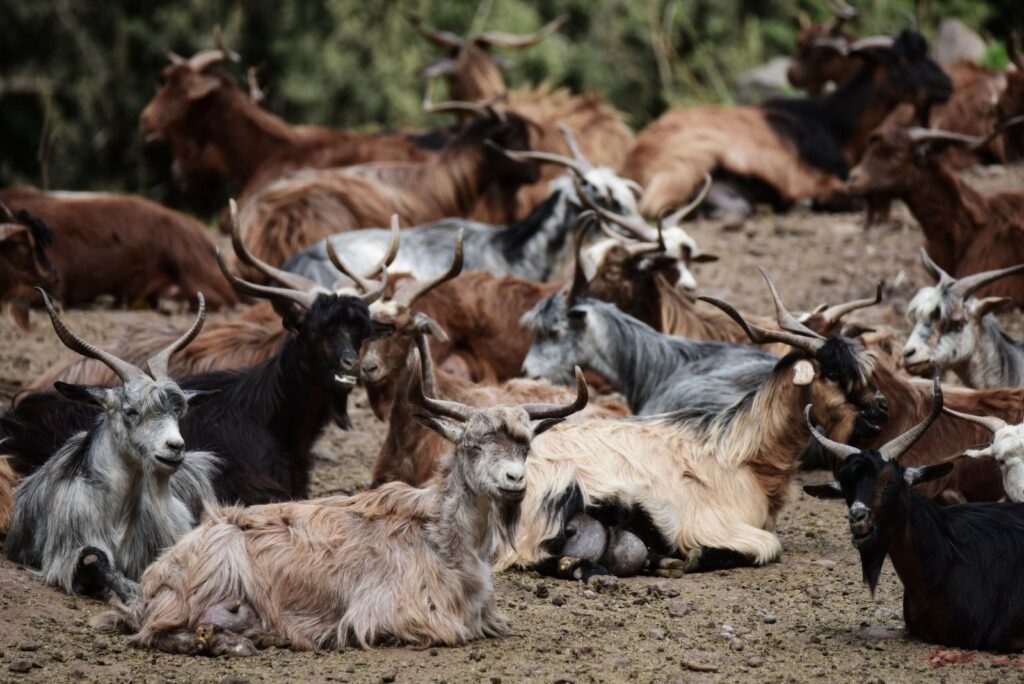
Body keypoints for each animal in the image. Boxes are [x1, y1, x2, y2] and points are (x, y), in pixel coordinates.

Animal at [3, 291, 218, 600]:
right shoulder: (64, 557)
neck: (116, 514)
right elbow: (94, 560)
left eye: (179, 413)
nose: (175, 447)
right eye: (131, 411)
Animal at [96, 355, 588, 654]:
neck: (442, 536)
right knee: (157, 633)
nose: (514, 481)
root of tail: (155, 576)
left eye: (525, 445)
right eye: (473, 445)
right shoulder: (393, 613)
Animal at [498, 272, 889, 579]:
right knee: (530, 556)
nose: (881, 408)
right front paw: (690, 558)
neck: (739, 451)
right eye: (834, 374)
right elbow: (767, 546)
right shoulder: (714, 524)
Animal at [625, 30, 953, 218]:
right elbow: (848, 197)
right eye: (901, 60)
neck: (831, 124)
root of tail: (636, 155)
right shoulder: (806, 177)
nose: (947, 85)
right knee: (654, 207)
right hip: (688, 161)